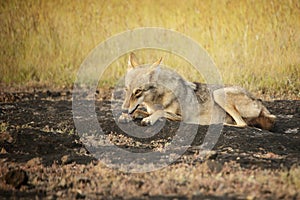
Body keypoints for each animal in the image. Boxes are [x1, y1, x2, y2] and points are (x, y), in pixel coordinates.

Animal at [119, 52, 276, 130]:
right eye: (127, 90)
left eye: (138, 92)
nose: (124, 109)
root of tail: (260, 103)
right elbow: (139, 111)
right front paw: (126, 116)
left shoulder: (181, 117)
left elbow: (160, 112)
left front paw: (148, 119)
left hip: (218, 94)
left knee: (242, 124)